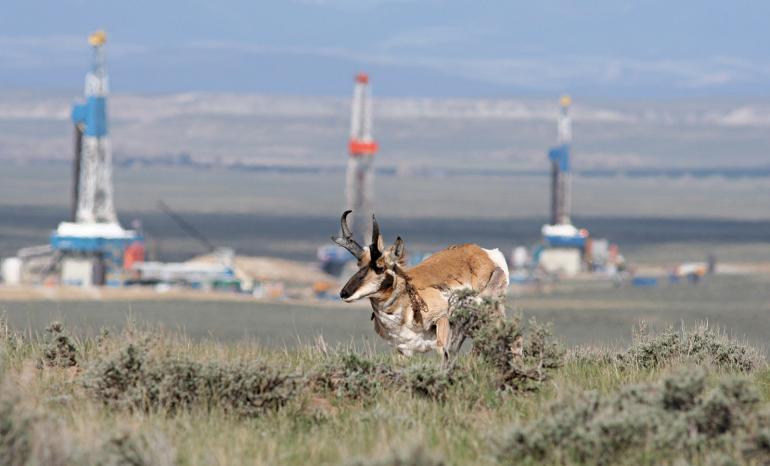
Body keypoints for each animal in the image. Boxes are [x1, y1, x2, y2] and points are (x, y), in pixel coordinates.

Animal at [328, 211, 504, 356]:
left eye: (380, 267)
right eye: (359, 264)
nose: (344, 293)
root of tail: (484, 253)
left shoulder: (442, 322)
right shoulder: (402, 350)